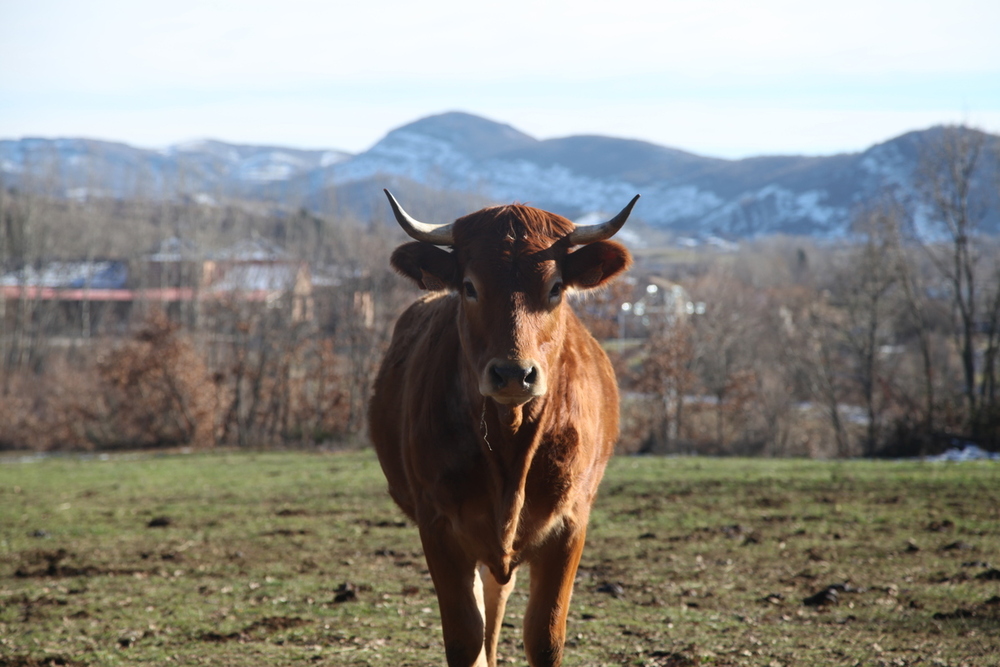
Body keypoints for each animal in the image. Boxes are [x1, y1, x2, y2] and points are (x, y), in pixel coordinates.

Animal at [370, 189, 640, 667]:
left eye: (555, 287)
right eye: (469, 286)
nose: (514, 374)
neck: (510, 443)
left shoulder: (570, 524)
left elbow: (545, 637)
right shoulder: (438, 526)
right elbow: (464, 637)